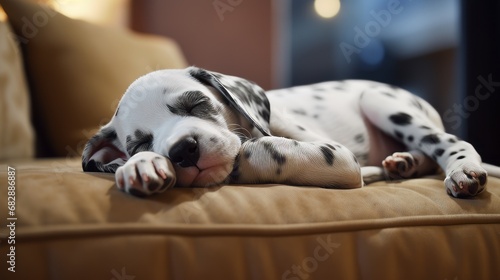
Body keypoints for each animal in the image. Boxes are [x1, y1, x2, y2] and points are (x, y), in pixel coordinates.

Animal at [82, 66, 496, 198]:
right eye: (140, 143)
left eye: (195, 104)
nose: (183, 150)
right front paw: (140, 167)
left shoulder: (336, 155)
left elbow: (258, 148)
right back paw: (404, 163)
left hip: (381, 102)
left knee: (450, 143)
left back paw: (462, 171)